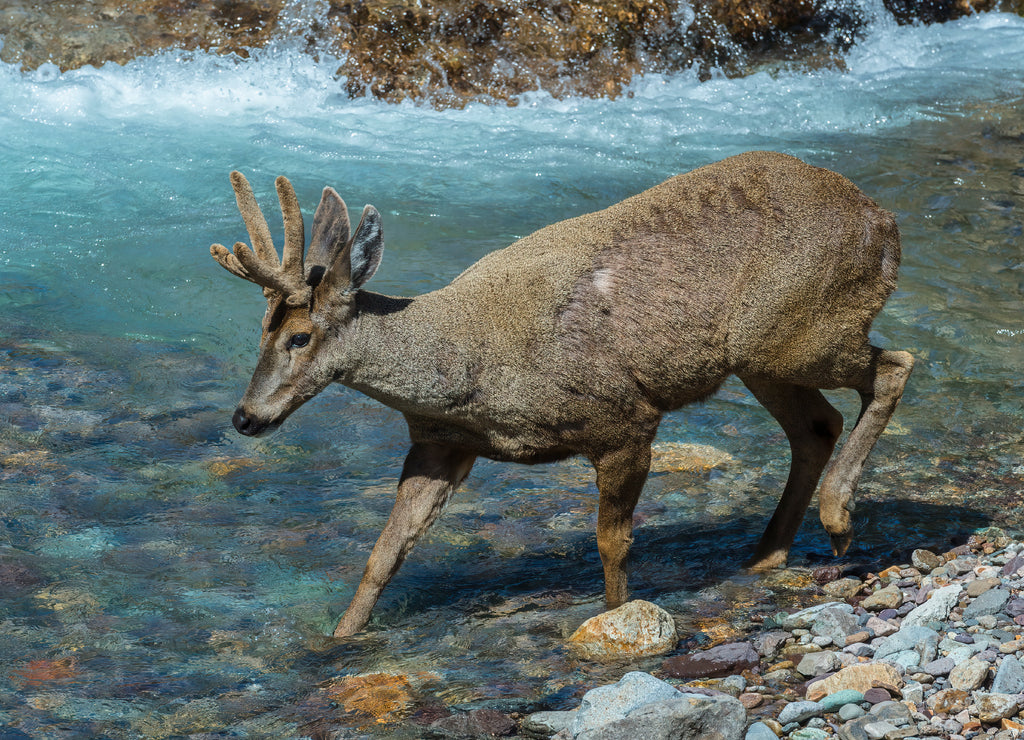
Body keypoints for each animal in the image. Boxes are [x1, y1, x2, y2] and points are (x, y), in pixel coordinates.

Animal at [209, 150, 914, 638]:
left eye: (299, 336)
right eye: (261, 329)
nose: (245, 417)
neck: (466, 368)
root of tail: (884, 220)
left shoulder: (625, 418)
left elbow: (612, 543)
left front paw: (618, 617)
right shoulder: (438, 444)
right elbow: (383, 554)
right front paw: (337, 640)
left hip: (798, 332)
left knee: (895, 365)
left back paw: (839, 519)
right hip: (762, 356)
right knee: (817, 425)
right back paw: (766, 556)